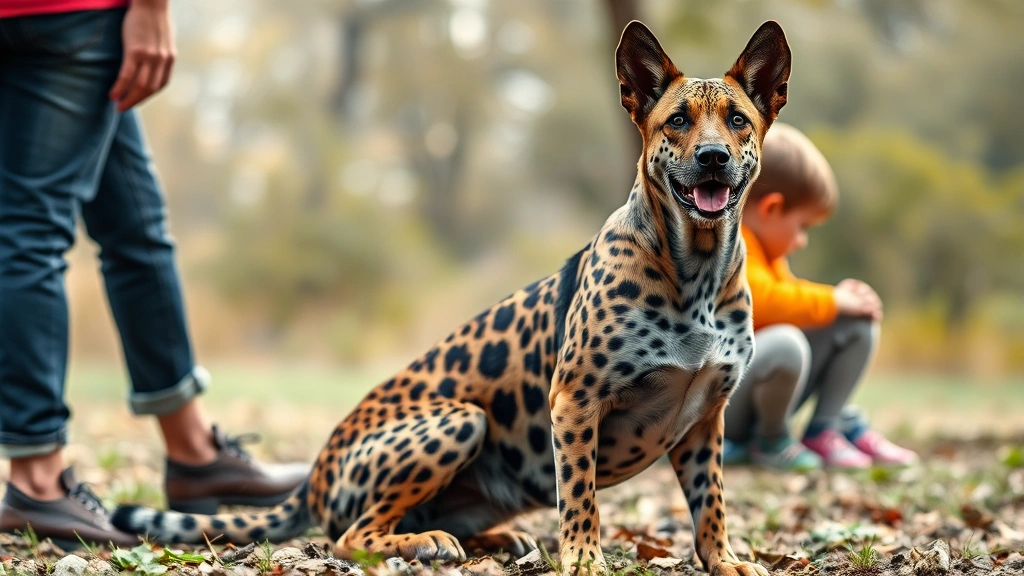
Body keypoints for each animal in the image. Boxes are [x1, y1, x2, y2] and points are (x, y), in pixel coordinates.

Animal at [113, 20, 792, 576]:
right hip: (460, 419)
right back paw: (427, 544)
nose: (712, 157)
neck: (695, 268)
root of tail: (314, 472)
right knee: (351, 536)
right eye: (677, 120)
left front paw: (724, 559)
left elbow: (712, 503)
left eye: (737, 120)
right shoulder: (575, 403)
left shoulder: (704, 418)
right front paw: (583, 559)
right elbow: (581, 497)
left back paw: (496, 539)